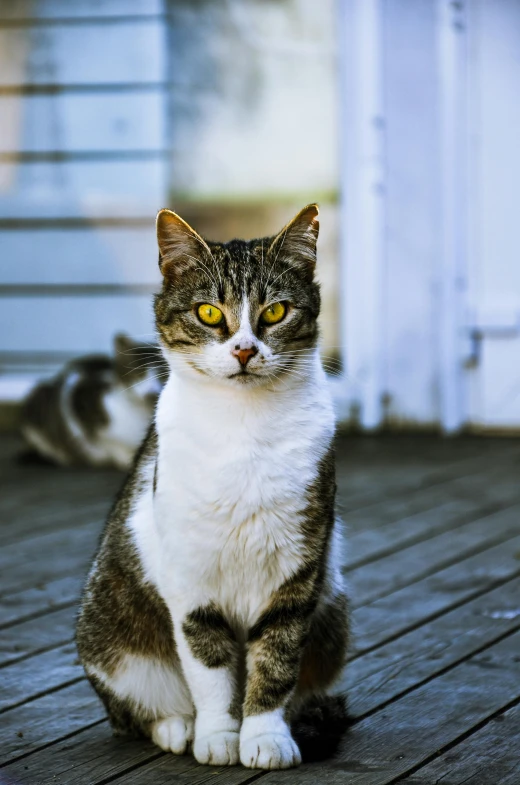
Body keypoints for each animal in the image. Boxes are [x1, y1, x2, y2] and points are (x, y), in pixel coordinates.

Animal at [76, 204, 350, 772]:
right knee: (132, 711)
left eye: (275, 312)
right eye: (207, 313)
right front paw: (220, 734)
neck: (243, 427)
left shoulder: (299, 570)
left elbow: (275, 662)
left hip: (333, 608)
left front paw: (265, 737)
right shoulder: (191, 578)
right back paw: (176, 727)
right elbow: (208, 665)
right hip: (110, 636)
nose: (244, 349)